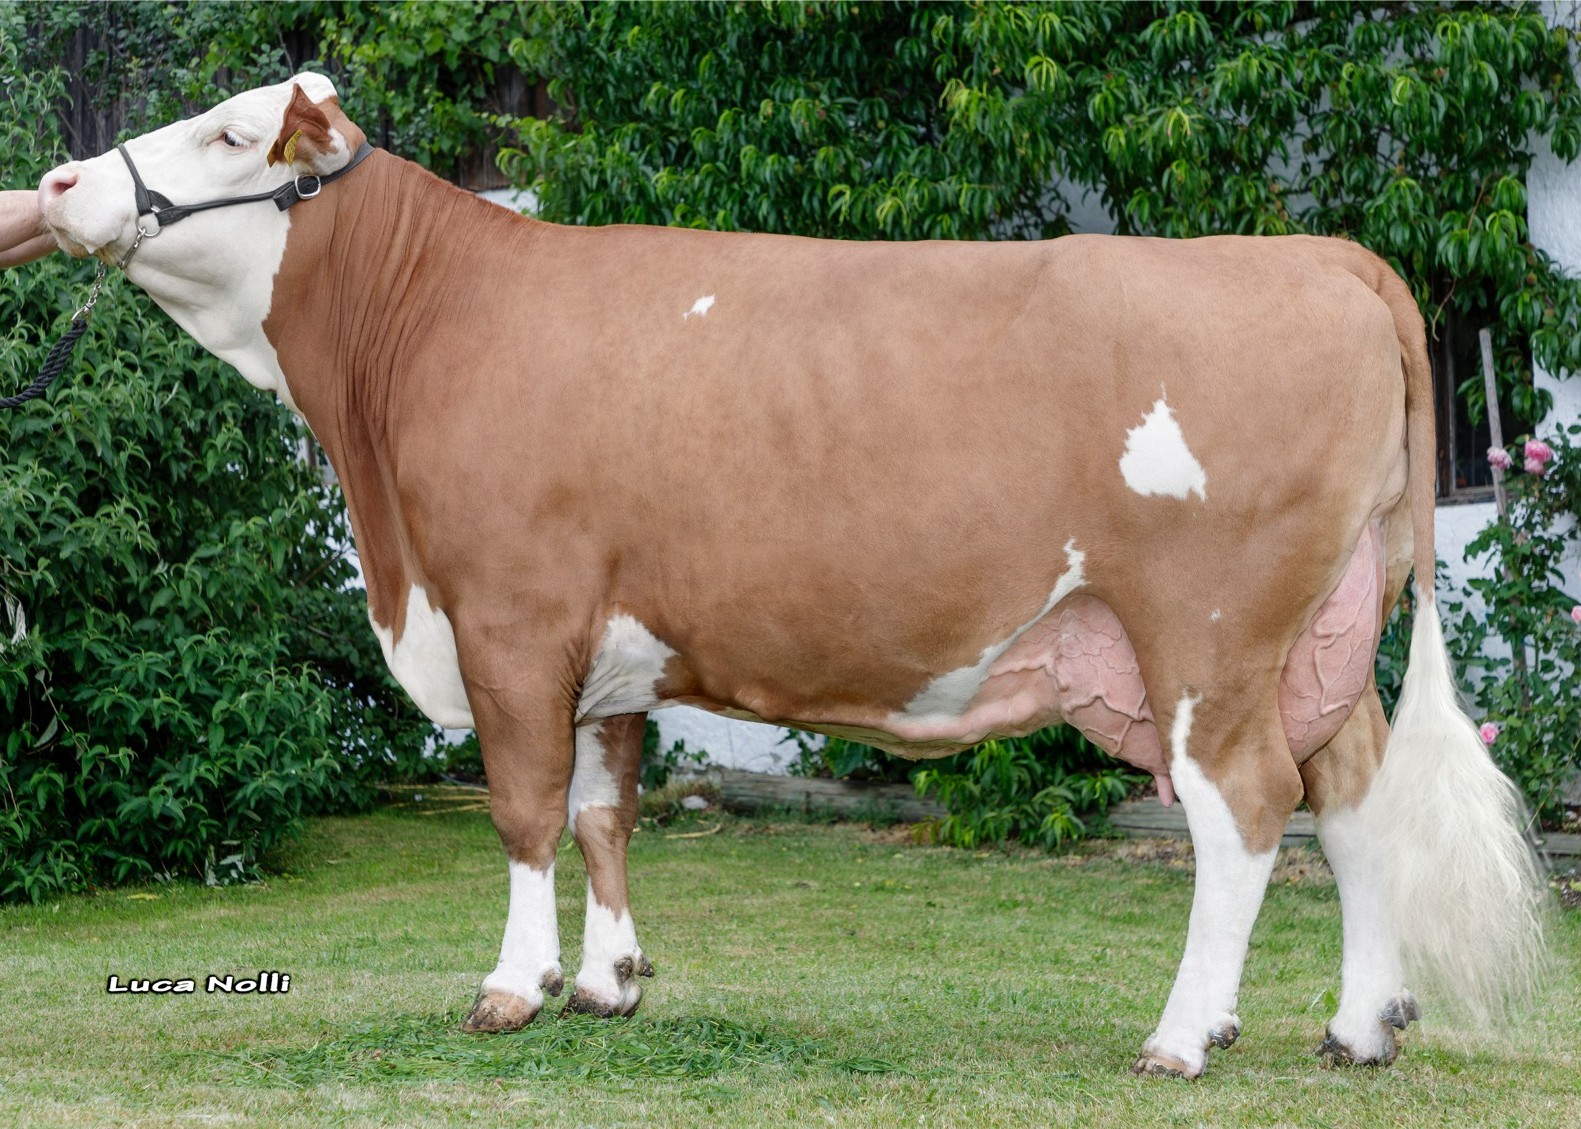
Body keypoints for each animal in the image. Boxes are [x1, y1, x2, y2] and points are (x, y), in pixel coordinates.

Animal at [37, 74, 1545, 1078]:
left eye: (228, 135)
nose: (53, 186)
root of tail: (1317, 250)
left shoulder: (510, 616)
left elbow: (523, 812)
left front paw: (514, 987)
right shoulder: (609, 651)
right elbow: (603, 810)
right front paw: (611, 982)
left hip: (1209, 630)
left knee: (1244, 809)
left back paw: (1182, 1035)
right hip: (1318, 632)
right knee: (1350, 794)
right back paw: (1357, 1024)